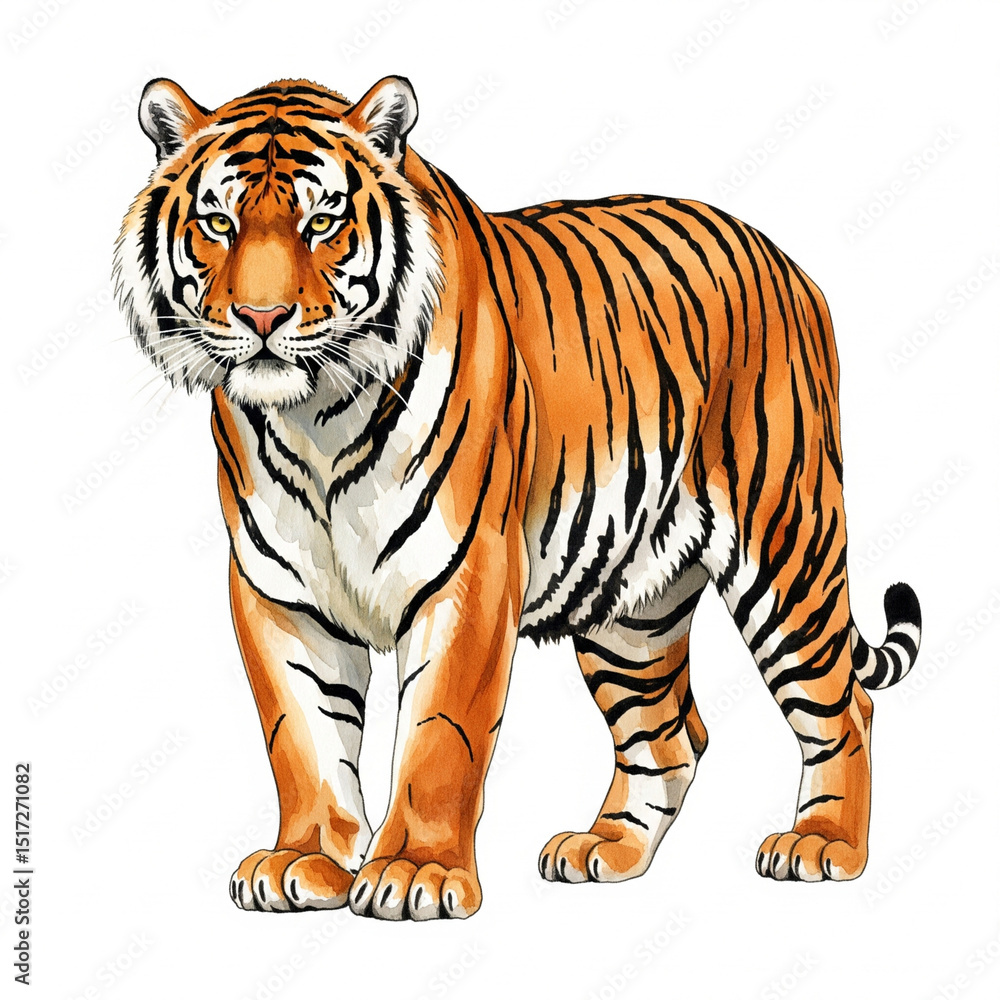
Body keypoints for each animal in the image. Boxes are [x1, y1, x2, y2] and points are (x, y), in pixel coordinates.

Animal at [114, 74, 922, 921]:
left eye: (322, 223)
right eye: (219, 223)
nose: (262, 318)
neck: (315, 420)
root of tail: (787, 261)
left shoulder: (466, 572)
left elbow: (439, 732)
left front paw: (415, 873)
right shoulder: (279, 590)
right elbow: (302, 734)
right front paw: (305, 859)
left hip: (786, 546)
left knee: (842, 705)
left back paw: (823, 844)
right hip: (627, 605)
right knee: (669, 736)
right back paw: (606, 849)